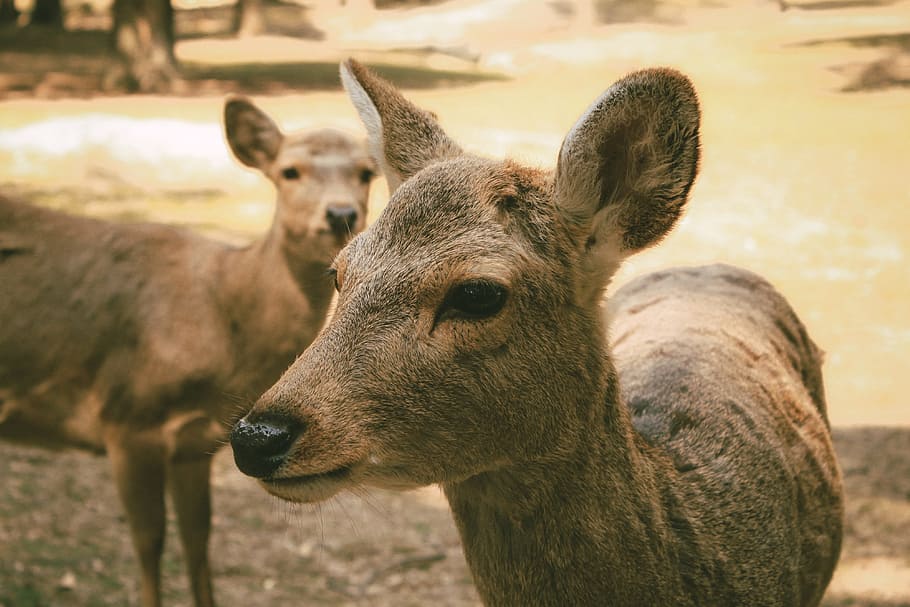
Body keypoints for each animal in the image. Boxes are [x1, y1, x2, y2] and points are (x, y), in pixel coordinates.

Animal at [0, 97, 378, 607]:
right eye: (289, 171)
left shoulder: (197, 442)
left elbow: (198, 539)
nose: (341, 214)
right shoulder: (127, 418)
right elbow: (149, 541)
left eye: (366, 172)